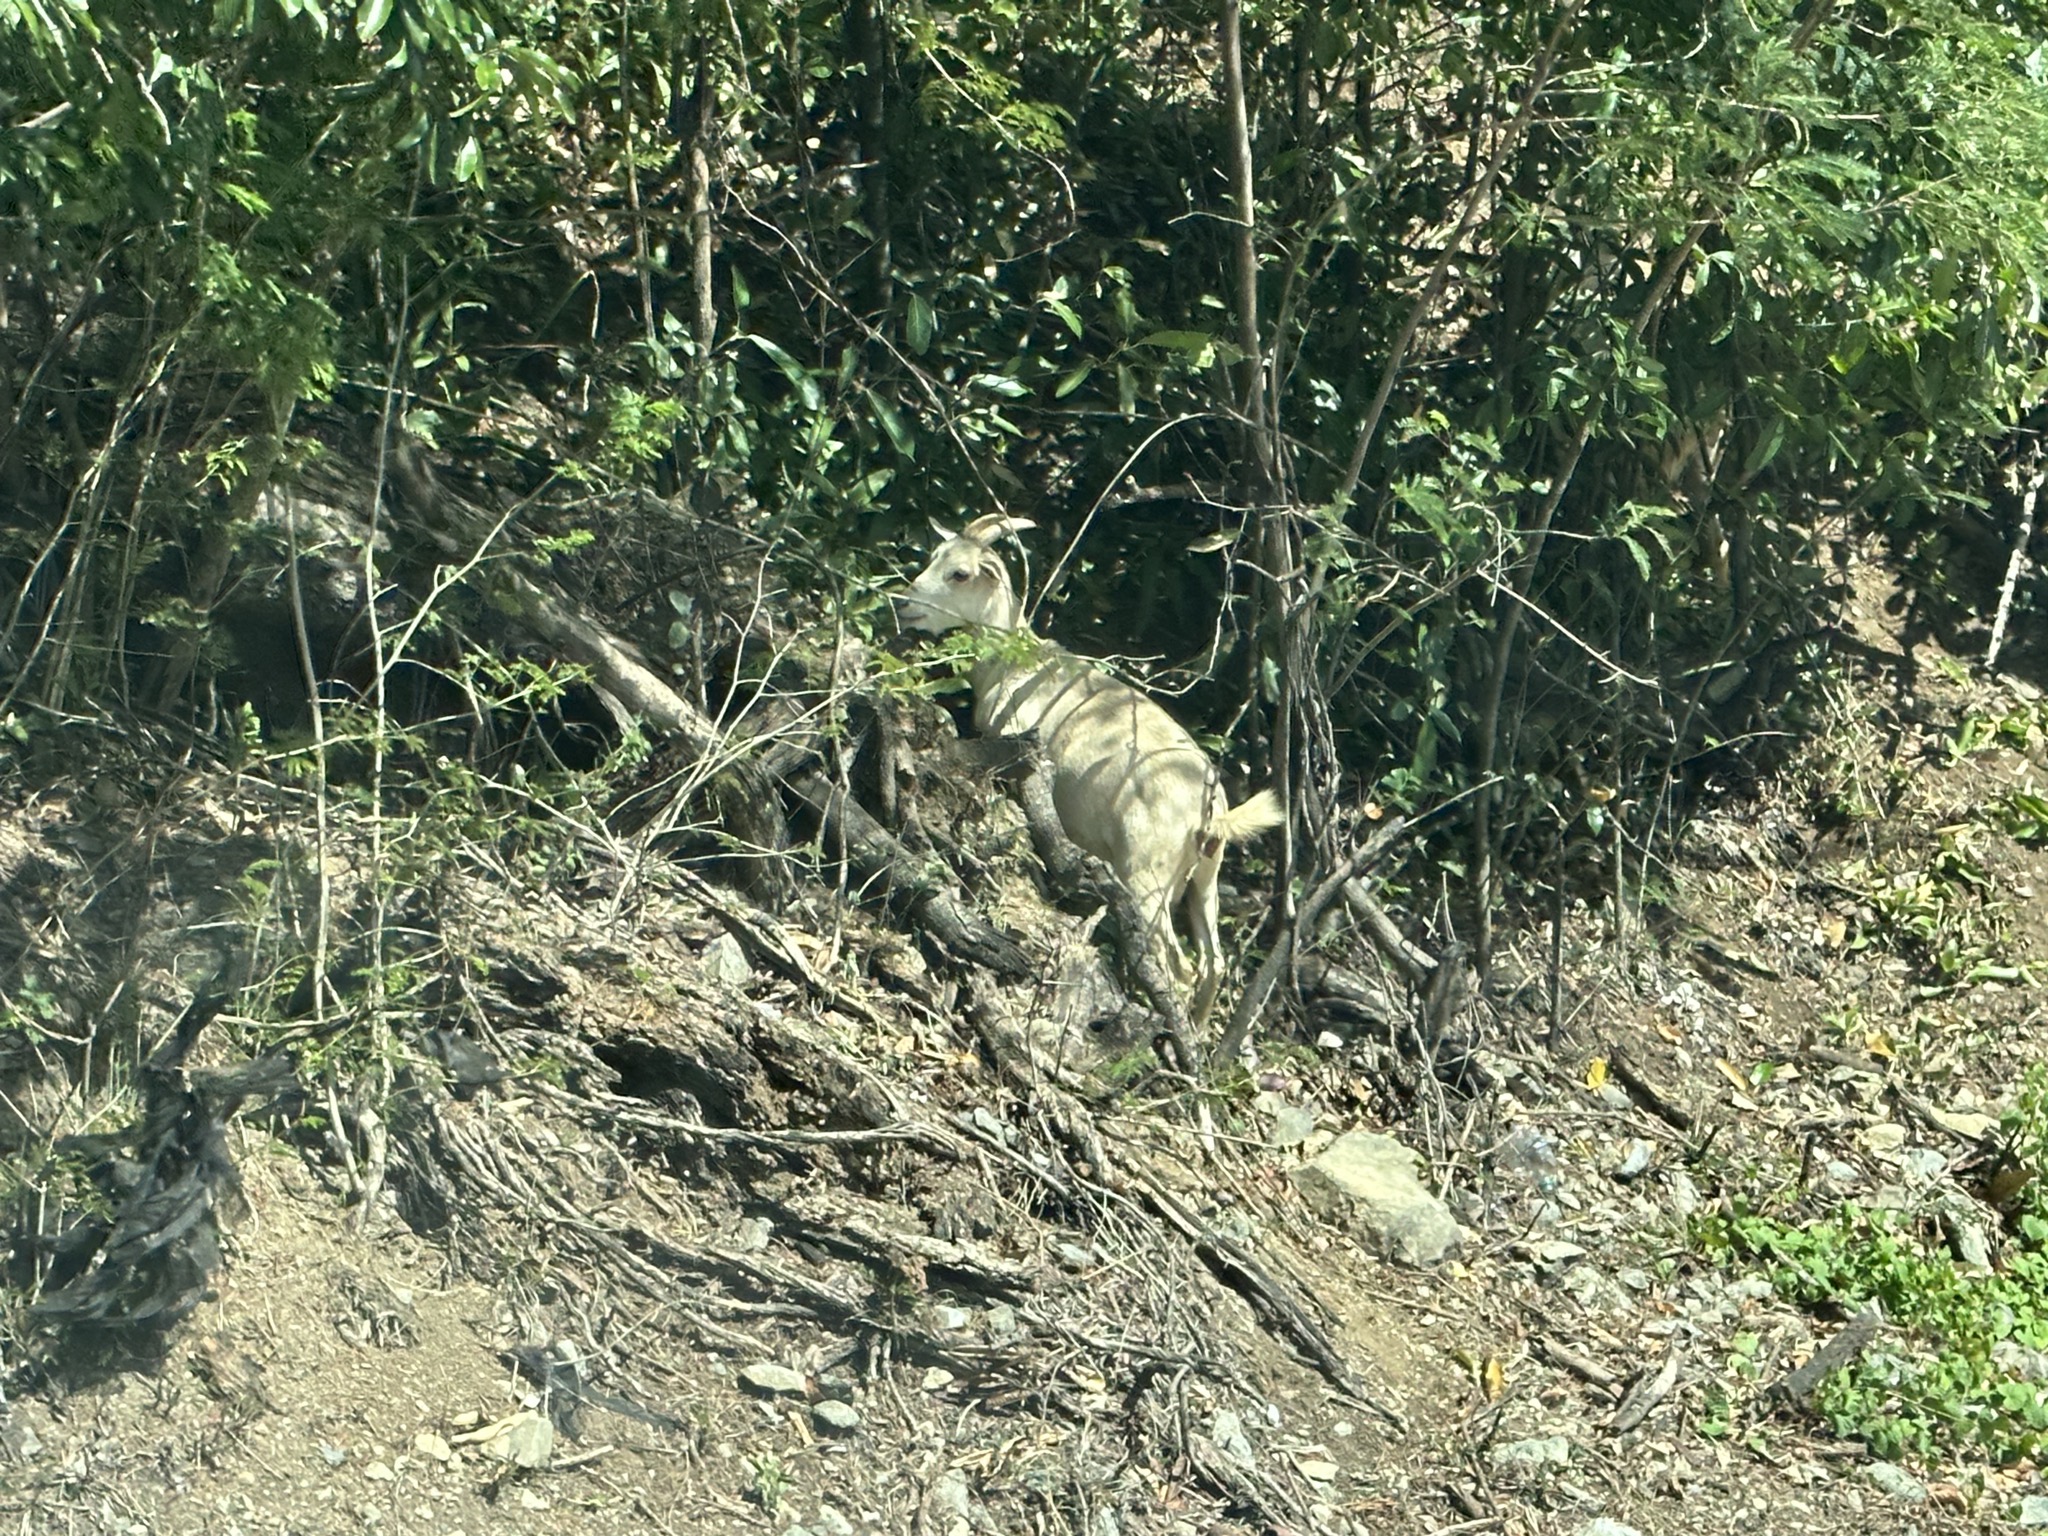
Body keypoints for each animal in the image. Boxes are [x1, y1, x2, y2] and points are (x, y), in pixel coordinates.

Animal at [893, 513, 1283, 1029]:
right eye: (934, 558)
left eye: (960, 573)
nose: (904, 605)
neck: (1018, 665)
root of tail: (1212, 808)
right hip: (1204, 876)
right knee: (1214, 963)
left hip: (1147, 875)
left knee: (1177, 966)